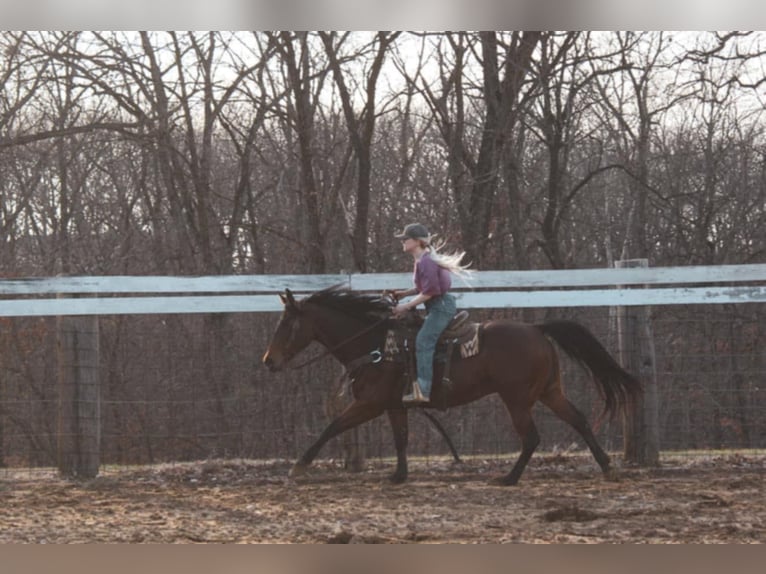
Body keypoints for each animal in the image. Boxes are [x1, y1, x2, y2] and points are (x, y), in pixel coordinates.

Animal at [264, 288, 640, 486]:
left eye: (286, 324)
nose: (269, 361)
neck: (375, 344)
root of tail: (537, 329)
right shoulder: (394, 405)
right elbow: (401, 438)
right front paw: (399, 475)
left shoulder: (369, 404)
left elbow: (332, 427)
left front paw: (299, 466)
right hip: (549, 392)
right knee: (578, 419)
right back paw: (606, 467)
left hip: (517, 398)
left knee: (532, 437)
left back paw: (508, 478)